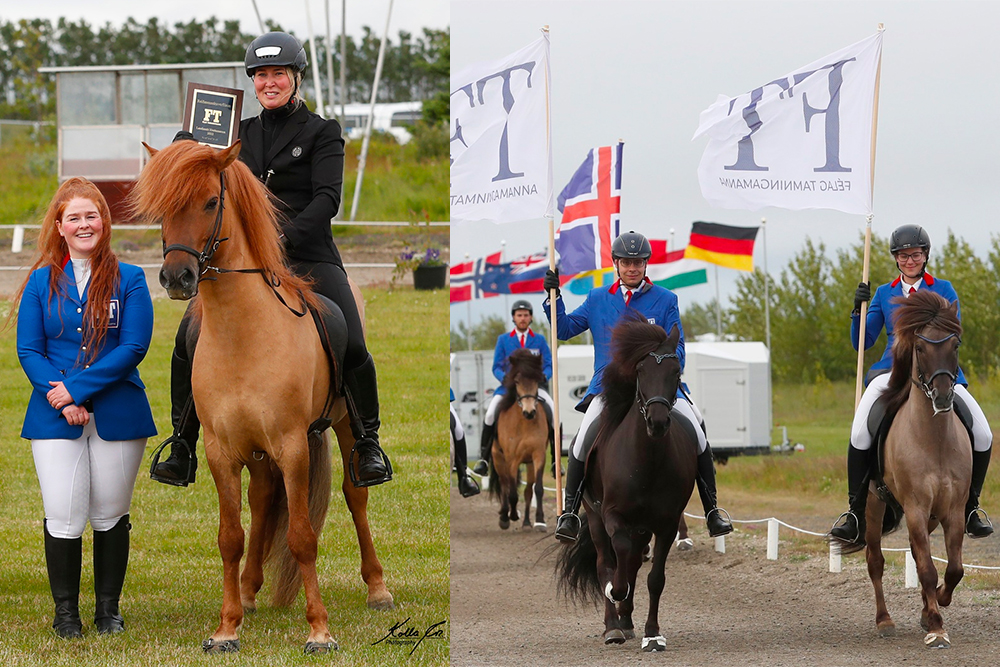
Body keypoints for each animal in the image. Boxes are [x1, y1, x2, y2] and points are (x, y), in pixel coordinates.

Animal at [132, 140, 394, 652]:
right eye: (162, 209)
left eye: (211, 202)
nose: (178, 278)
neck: (242, 333)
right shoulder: (221, 449)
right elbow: (230, 536)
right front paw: (226, 628)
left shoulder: (292, 446)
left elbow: (302, 537)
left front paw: (319, 631)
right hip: (254, 450)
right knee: (263, 498)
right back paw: (250, 590)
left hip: (344, 425)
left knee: (355, 495)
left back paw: (377, 588)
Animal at [488, 350, 552, 532]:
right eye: (516, 381)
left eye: (537, 380)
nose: (529, 412)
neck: (525, 424)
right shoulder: (511, 459)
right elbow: (511, 492)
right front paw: (512, 515)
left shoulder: (538, 455)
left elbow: (538, 488)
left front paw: (540, 521)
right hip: (498, 458)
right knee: (504, 484)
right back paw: (504, 516)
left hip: (529, 463)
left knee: (528, 490)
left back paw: (527, 523)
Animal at [560, 314, 700, 652]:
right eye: (640, 370)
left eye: (675, 371)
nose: (658, 422)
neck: (646, 460)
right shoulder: (612, 514)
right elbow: (616, 561)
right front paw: (616, 590)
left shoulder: (666, 523)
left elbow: (655, 579)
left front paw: (653, 634)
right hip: (595, 517)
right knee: (605, 561)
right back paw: (613, 625)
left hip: (642, 526)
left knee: (634, 562)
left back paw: (625, 620)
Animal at [860, 290, 968, 648]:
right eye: (919, 348)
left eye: (956, 344)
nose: (943, 396)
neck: (934, 439)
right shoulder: (916, 507)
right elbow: (928, 569)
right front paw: (936, 626)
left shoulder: (954, 509)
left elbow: (953, 569)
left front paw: (936, 606)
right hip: (874, 504)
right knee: (875, 561)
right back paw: (884, 620)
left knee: (917, 554)